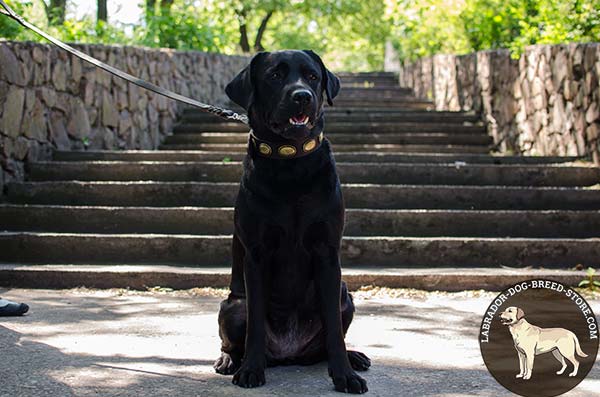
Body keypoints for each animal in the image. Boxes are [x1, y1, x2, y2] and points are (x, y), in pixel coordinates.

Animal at [211, 50, 370, 392]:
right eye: (274, 75)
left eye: (312, 76)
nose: (302, 96)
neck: (290, 160)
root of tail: (289, 353)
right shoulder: (256, 255)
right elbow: (256, 325)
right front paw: (251, 370)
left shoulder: (327, 253)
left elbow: (334, 330)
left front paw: (344, 375)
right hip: (233, 304)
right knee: (232, 340)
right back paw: (230, 361)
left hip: (345, 295)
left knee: (329, 339)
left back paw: (353, 357)